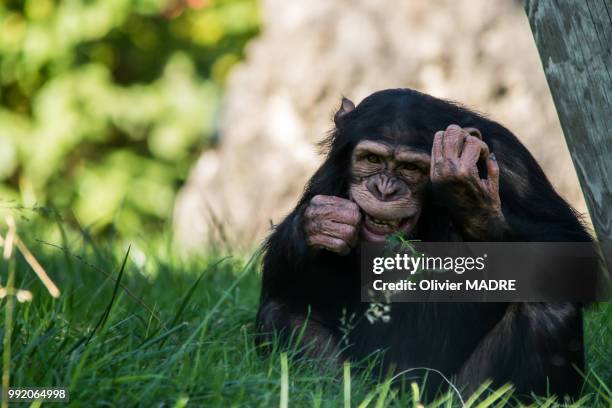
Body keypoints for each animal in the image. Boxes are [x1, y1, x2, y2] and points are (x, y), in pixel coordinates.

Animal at [252, 88, 588, 398]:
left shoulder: (513, 162)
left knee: (550, 313)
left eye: (410, 168)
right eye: (372, 159)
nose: (384, 189)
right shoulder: (329, 176)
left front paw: (465, 191)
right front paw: (320, 223)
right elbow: (280, 281)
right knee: (281, 310)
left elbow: (565, 243)